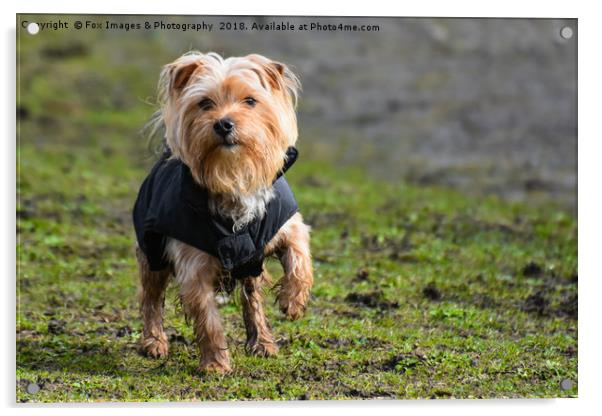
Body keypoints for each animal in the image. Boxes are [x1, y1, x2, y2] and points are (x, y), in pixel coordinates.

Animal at [132, 51, 314, 374]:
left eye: (250, 101)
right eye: (205, 103)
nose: (224, 124)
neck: (233, 175)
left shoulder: (285, 223)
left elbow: (299, 258)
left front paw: (293, 301)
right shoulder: (193, 267)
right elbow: (208, 320)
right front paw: (216, 364)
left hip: (251, 267)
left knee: (252, 300)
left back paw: (262, 342)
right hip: (151, 250)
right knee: (151, 297)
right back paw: (153, 342)